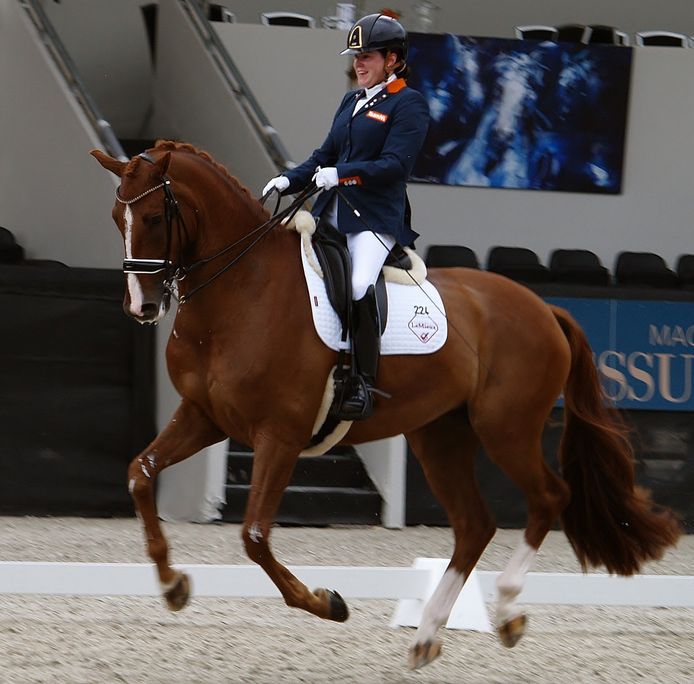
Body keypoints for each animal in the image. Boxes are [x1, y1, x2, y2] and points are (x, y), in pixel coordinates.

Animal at [89, 139, 684, 668]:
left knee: (548, 497)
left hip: (506, 429)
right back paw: (427, 637)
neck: (240, 291)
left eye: (155, 218)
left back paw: (508, 611)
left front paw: (327, 603)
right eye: (117, 216)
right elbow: (140, 474)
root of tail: (542, 306)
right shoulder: (205, 416)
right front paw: (172, 585)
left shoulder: (279, 434)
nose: (141, 306)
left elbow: (255, 536)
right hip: (440, 435)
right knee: (475, 525)